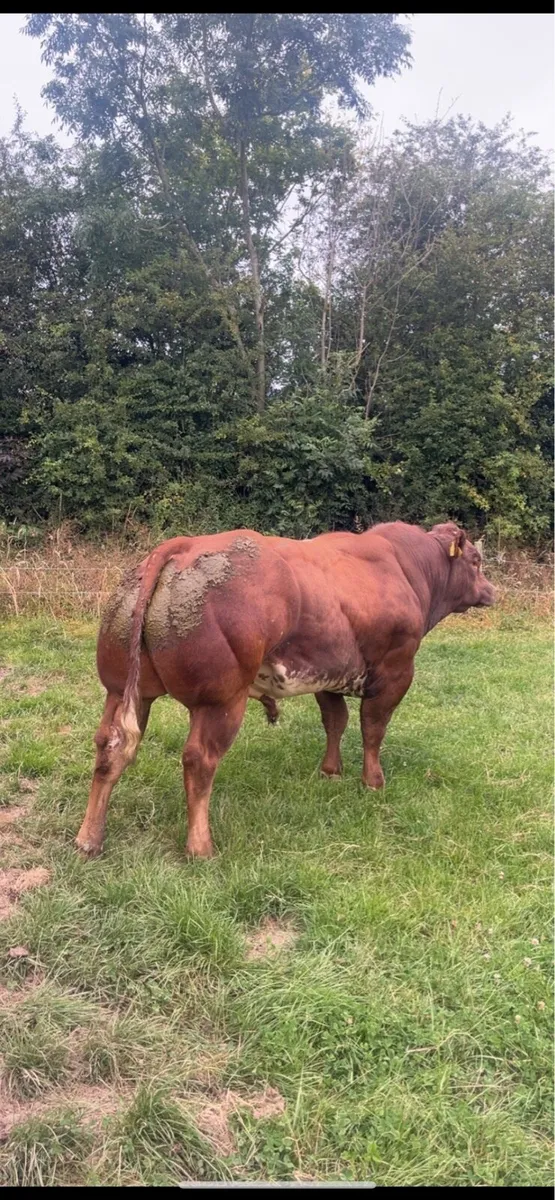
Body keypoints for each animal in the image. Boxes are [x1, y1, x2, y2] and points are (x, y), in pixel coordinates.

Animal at [75, 521, 495, 860]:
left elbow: (335, 721)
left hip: (121, 689)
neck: (408, 570)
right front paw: (373, 783)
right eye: (475, 560)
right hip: (221, 700)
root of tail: (184, 545)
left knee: (110, 746)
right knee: (199, 760)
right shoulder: (396, 671)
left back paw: (89, 838)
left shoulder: (329, 673)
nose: (492, 591)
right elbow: (372, 729)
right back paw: (201, 847)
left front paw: (331, 772)